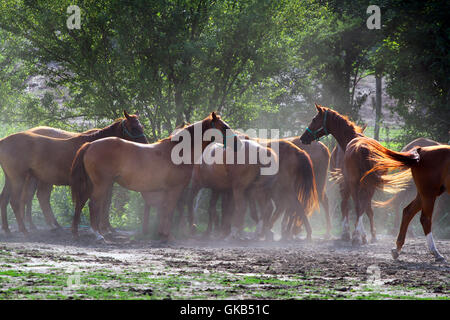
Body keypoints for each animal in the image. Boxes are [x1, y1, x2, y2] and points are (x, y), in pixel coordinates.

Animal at [0, 110, 146, 235]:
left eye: (142, 127)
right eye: (133, 128)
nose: (145, 144)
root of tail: (4, 141)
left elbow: (102, 202)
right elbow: (98, 202)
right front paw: (102, 228)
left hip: (15, 179)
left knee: (9, 198)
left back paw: (10, 229)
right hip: (19, 179)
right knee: (17, 200)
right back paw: (25, 229)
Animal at [70, 112, 232, 240]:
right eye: (224, 127)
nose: (235, 141)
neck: (178, 151)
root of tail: (90, 145)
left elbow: (165, 209)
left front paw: (161, 233)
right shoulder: (175, 189)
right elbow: (169, 209)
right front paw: (168, 235)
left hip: (91, 184)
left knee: (82, 203)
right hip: (101, 184)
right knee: (93, 204)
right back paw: (97, 234)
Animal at [300, 104, 382, 245]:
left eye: (314, 119)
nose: (303, 137)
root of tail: (362, 149)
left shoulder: (349, 183)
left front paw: (357, 234)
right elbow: (362, 207)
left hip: (355, 184)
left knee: (358, 206)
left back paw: (357, 235)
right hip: (368, 185)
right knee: (364, 206)